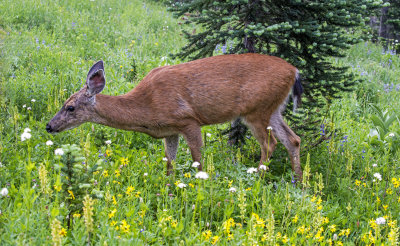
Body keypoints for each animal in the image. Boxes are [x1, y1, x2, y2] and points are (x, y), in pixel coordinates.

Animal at [47, 53, 304, 180]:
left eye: (70, 107)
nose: (50, 126)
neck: (147, 107)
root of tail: (295, 71)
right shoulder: (169, 131)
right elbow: (169, 163)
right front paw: (169, 191)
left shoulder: (188, 120)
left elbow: (197, 159)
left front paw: (199, 187)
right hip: (273, 109)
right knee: (293, 139)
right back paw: (299, 183)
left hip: (256, 110)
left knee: (270, 144)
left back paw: (256, 182)